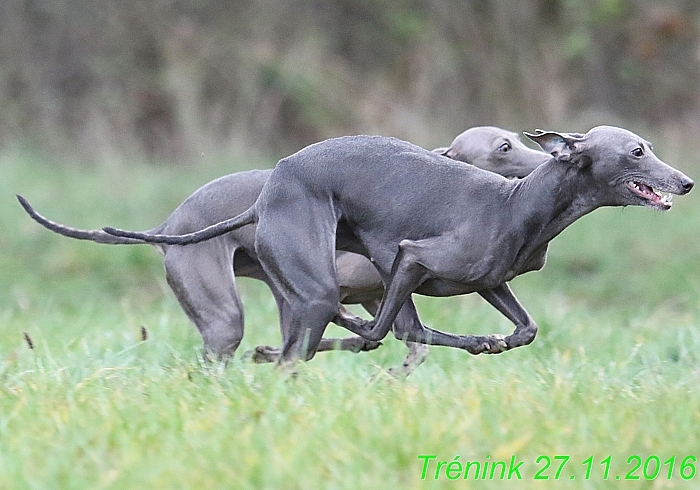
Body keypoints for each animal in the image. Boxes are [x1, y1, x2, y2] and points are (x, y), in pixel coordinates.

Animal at [19, 125, 548, 372]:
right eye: (503, 147)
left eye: (515, 139)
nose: (549, 157)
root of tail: (168, 221)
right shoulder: (355, 289)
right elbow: (372, 334)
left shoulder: (377, 295)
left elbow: (401, 343)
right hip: (225, 315)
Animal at [101, 126, 692, 364]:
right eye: (637, 152)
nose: (686, 182)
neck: (519, 202)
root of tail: (265, 198)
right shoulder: (411, 258)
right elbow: (384, 331)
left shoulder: (488, 280)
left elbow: (525, 329)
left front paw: (495, 340)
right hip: (307, 286)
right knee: (333, 334)